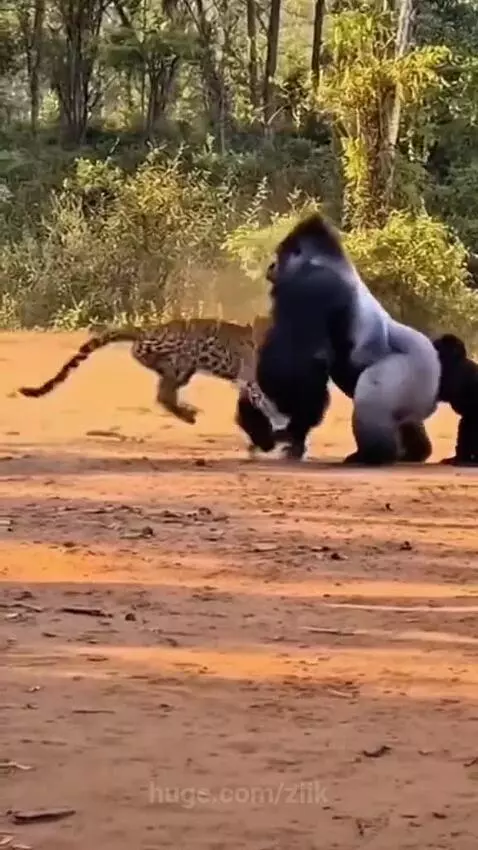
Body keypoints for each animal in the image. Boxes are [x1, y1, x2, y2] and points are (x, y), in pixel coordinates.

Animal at [17, 318, 288, 449]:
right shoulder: (250, 378)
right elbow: (265, 398)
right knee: (163, 392)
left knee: (163, 391)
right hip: (184, 358)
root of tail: (147, 330)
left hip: (181, 369)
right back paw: (188, 414)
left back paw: (187, 412)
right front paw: (278, 420)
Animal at [241, 213, 440, 465]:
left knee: (370, 397)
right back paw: (416, 451)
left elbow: (302, 361)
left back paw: (371, 455)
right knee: (405, 418)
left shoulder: (311, 285)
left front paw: (293, 426)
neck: (322, 260)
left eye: (281, 255)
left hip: (414, 370)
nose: (271, 266)